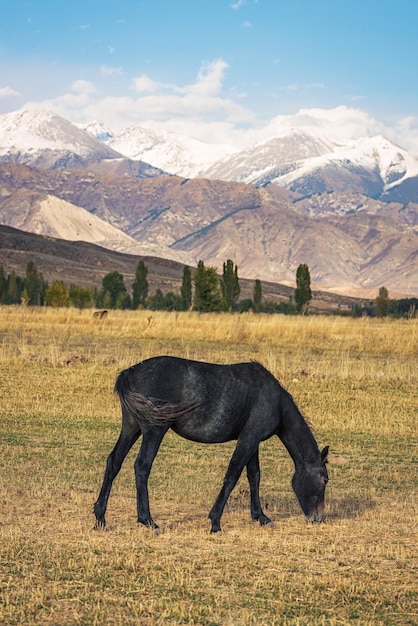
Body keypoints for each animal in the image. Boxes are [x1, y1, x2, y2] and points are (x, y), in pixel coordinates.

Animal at [94, 356, 330, 532]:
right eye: (325, 479)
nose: (318, 518)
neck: (275, 401)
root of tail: (130, 373)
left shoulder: (252, 441)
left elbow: (254, 476)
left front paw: (260, 516)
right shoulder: (248, 439)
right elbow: (232, 476)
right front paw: (215, 522)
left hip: (131, 428)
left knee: (114, 462)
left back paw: (100, 518)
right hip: (154, 431)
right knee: (142, 467)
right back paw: (148, 521)